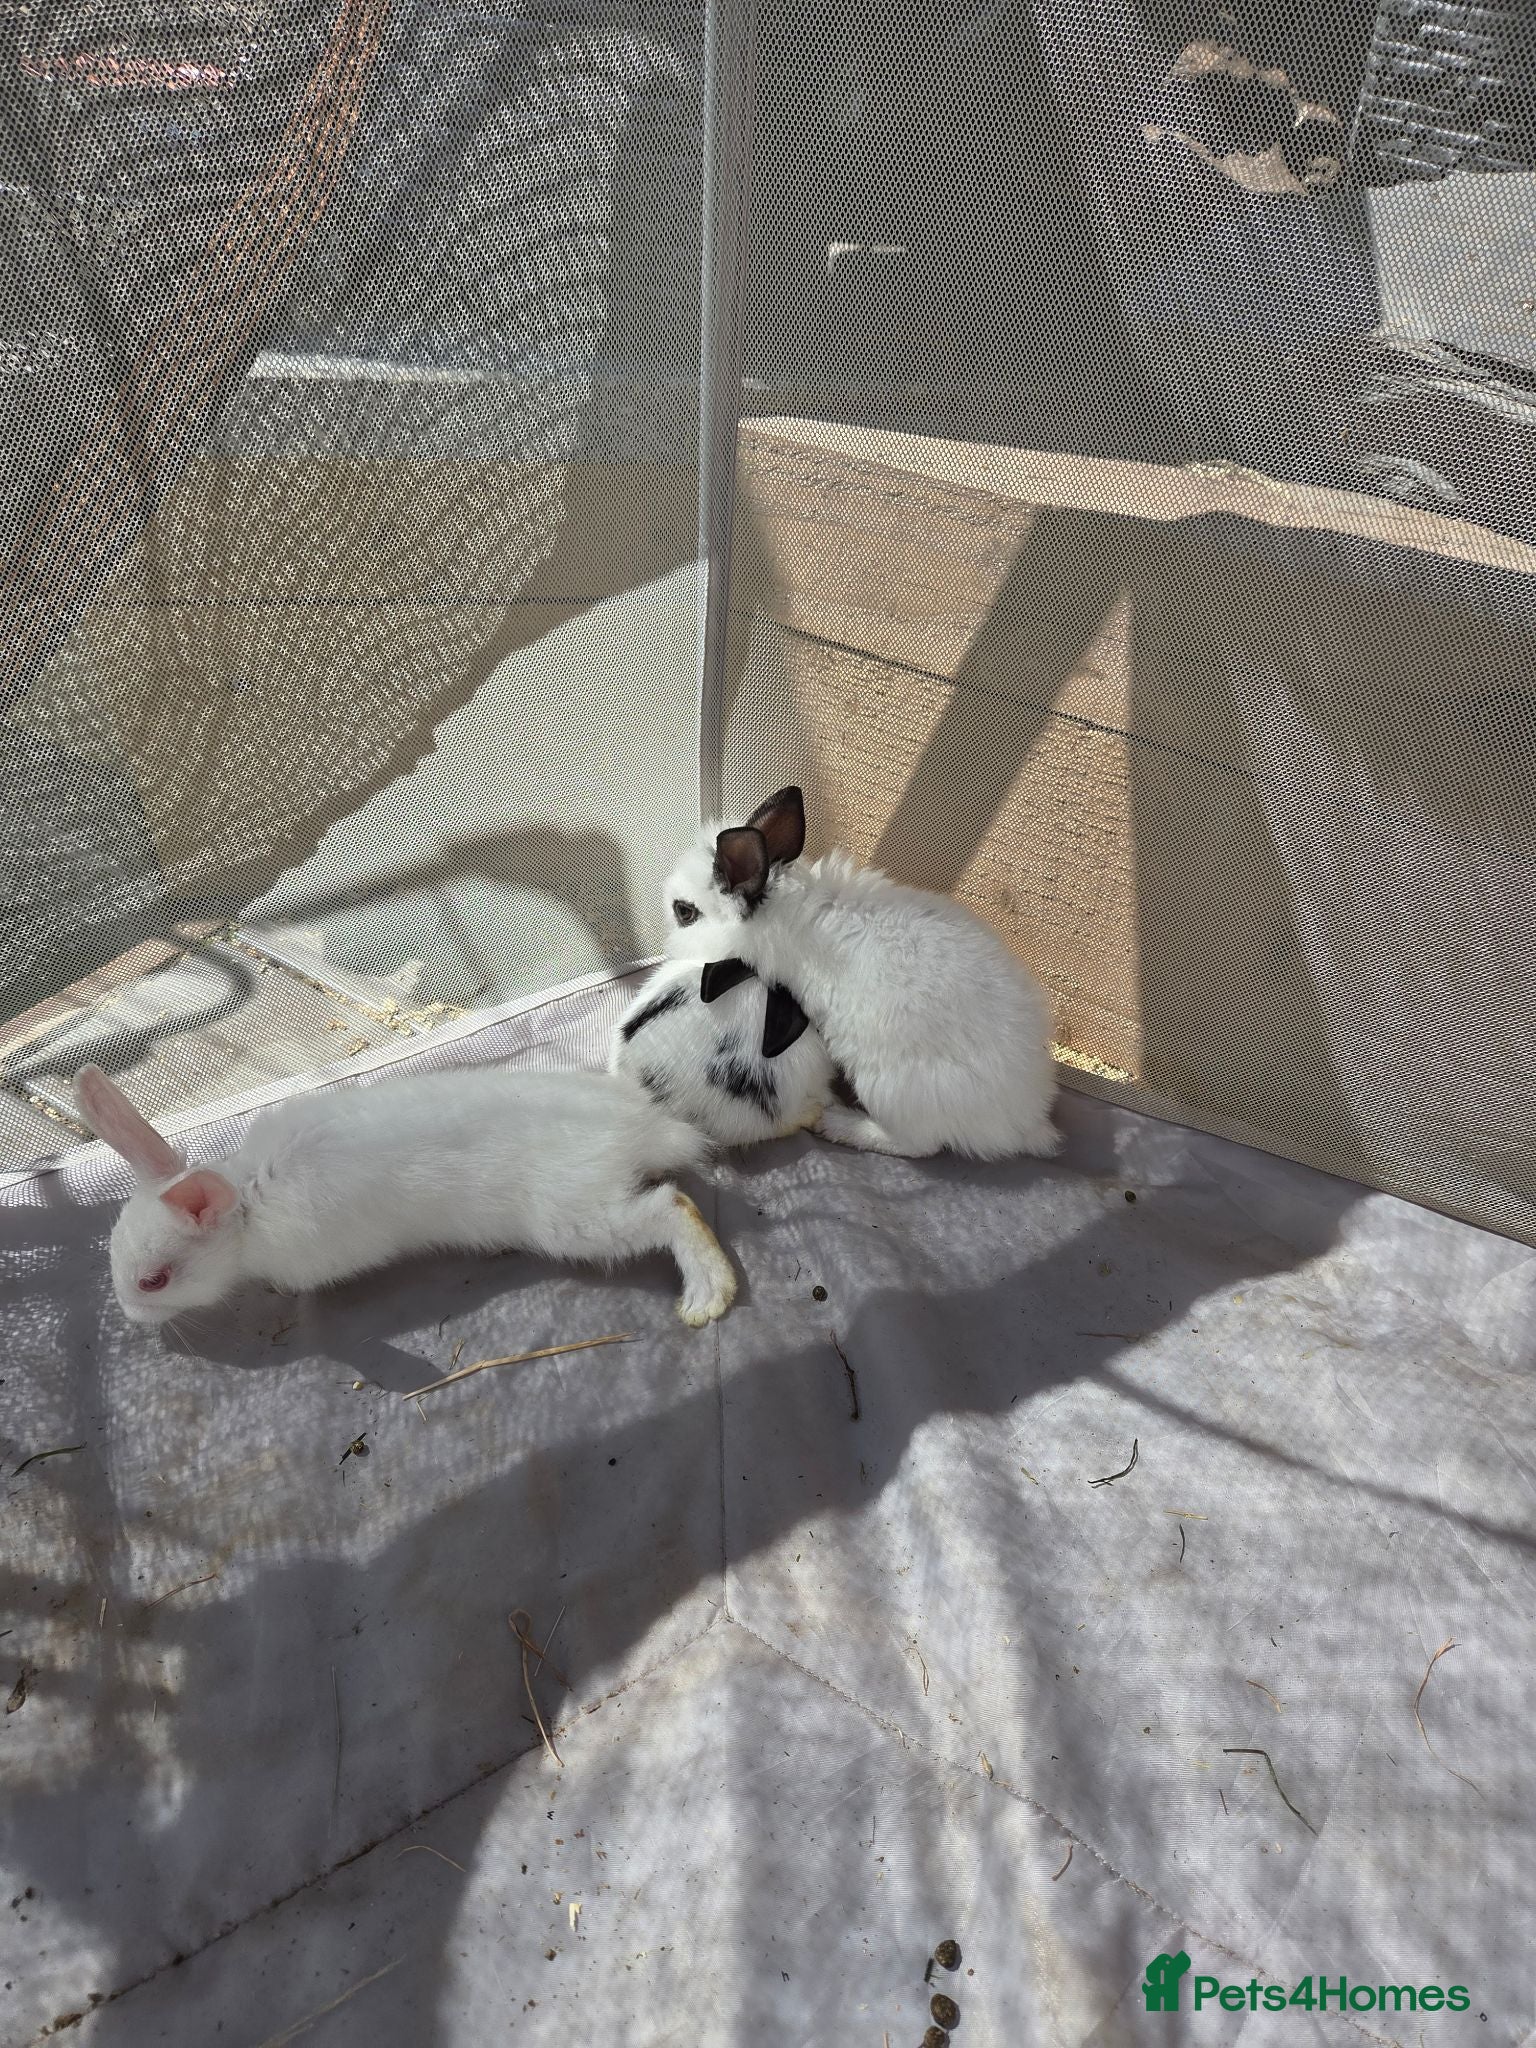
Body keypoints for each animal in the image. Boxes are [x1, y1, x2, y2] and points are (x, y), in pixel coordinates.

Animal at [74, 1061, 737, 1332]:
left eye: (154, 1281)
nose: (130, 1317)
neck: (246, 1207)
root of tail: (641, 1128)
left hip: (577, 1220)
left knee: (674, 1206)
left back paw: (708, 1298)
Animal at [661, 786, 1060, 1161]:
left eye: (684, 911)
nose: (668, 947)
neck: (783, 912)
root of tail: (1022, 1123)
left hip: (889, 1088)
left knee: (920, 1145)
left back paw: (837, 1124)